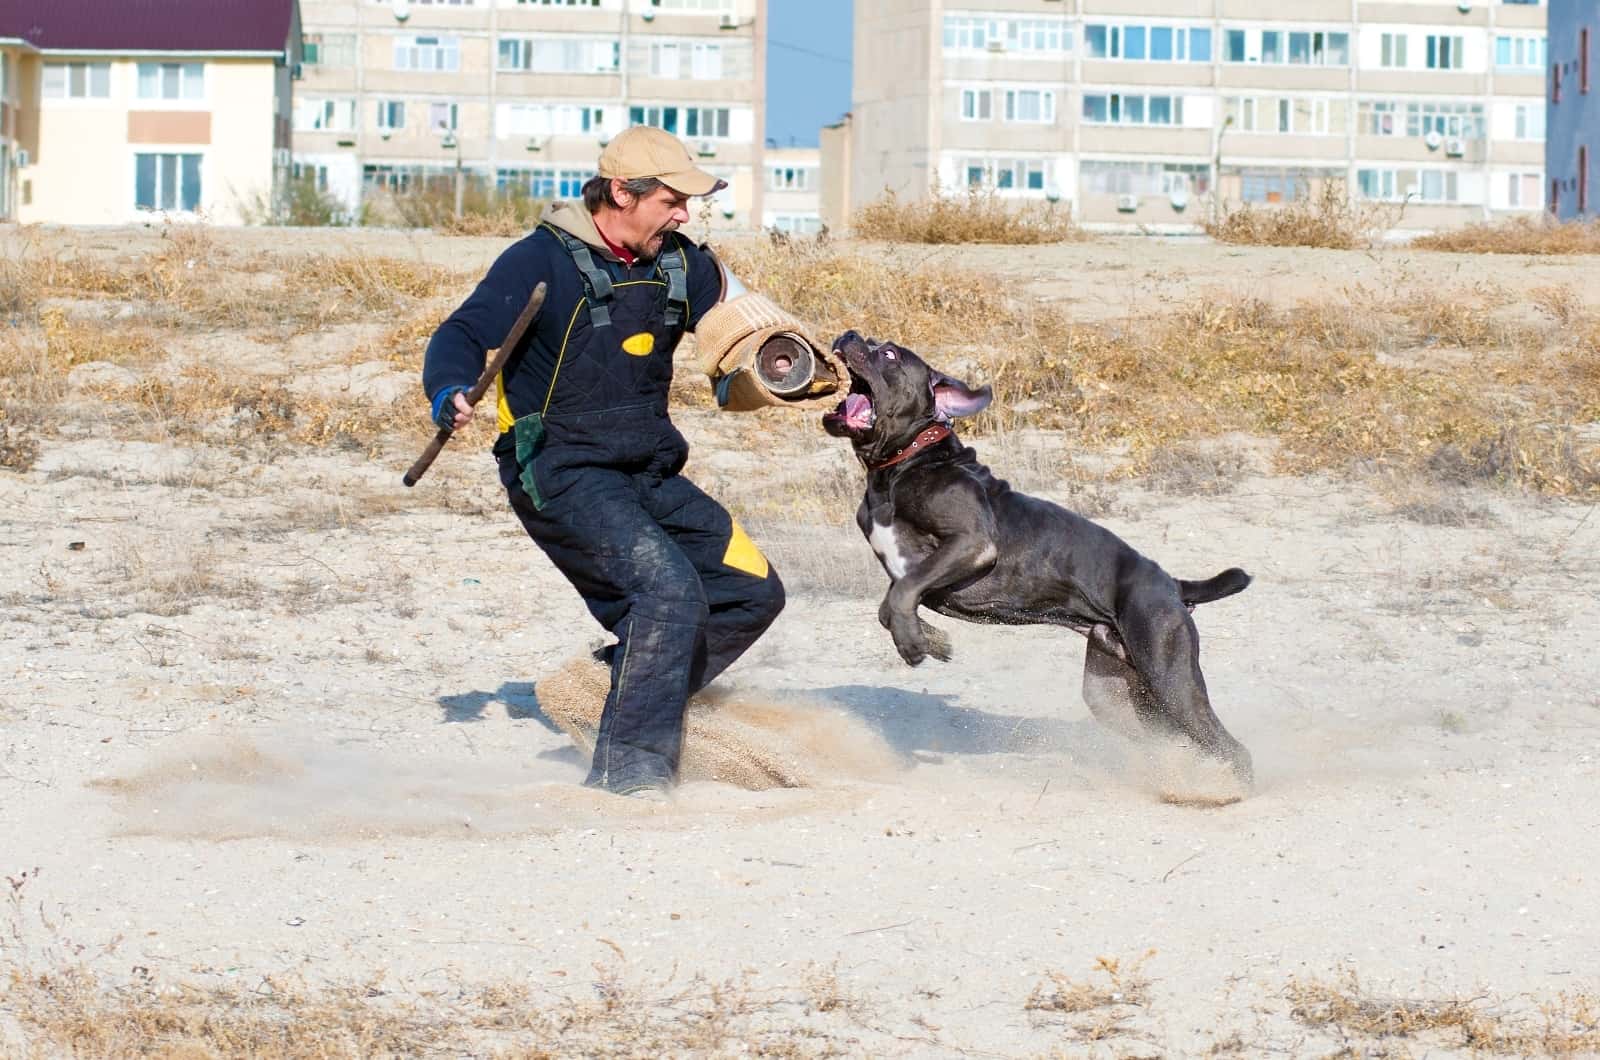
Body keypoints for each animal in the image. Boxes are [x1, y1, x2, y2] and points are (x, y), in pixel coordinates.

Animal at [825, 333, 1260, 787]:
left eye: (888, 353)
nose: (850, 335)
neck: (898, 467)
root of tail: (1173, 585)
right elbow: (891, 604)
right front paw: (932, 640)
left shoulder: (973, 543)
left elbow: (904, 591)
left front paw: (913, 644)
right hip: (1114, 693)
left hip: (1168, 673)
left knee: (1228, 745)